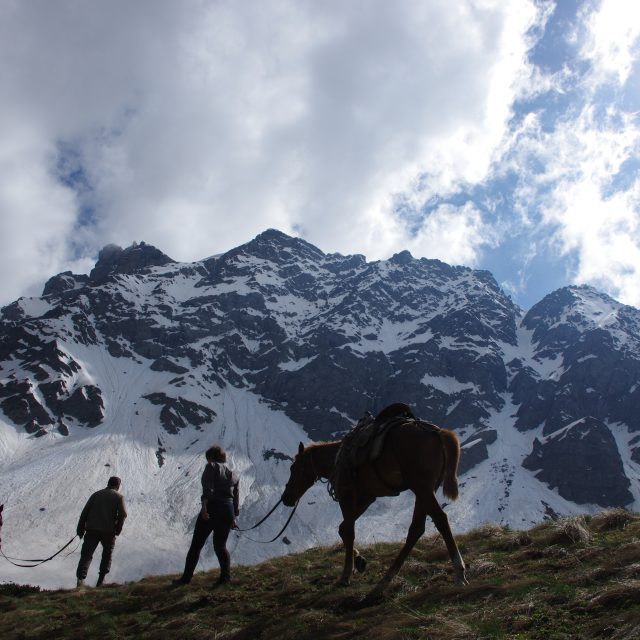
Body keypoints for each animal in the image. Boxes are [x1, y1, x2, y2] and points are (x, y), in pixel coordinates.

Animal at [281, 412, 468, 599]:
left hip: (421, 487)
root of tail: (436, 433)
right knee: (416, 529)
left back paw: (459, 573)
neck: (336, 459)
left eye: (293, 468)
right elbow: (343, 528)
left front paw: (346, 575)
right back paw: (385, 580)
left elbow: (348, 531)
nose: (286, 498)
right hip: (425, 490)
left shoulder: (347, 495)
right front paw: (359, 561)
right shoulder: (367, 498)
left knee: (440, 519)